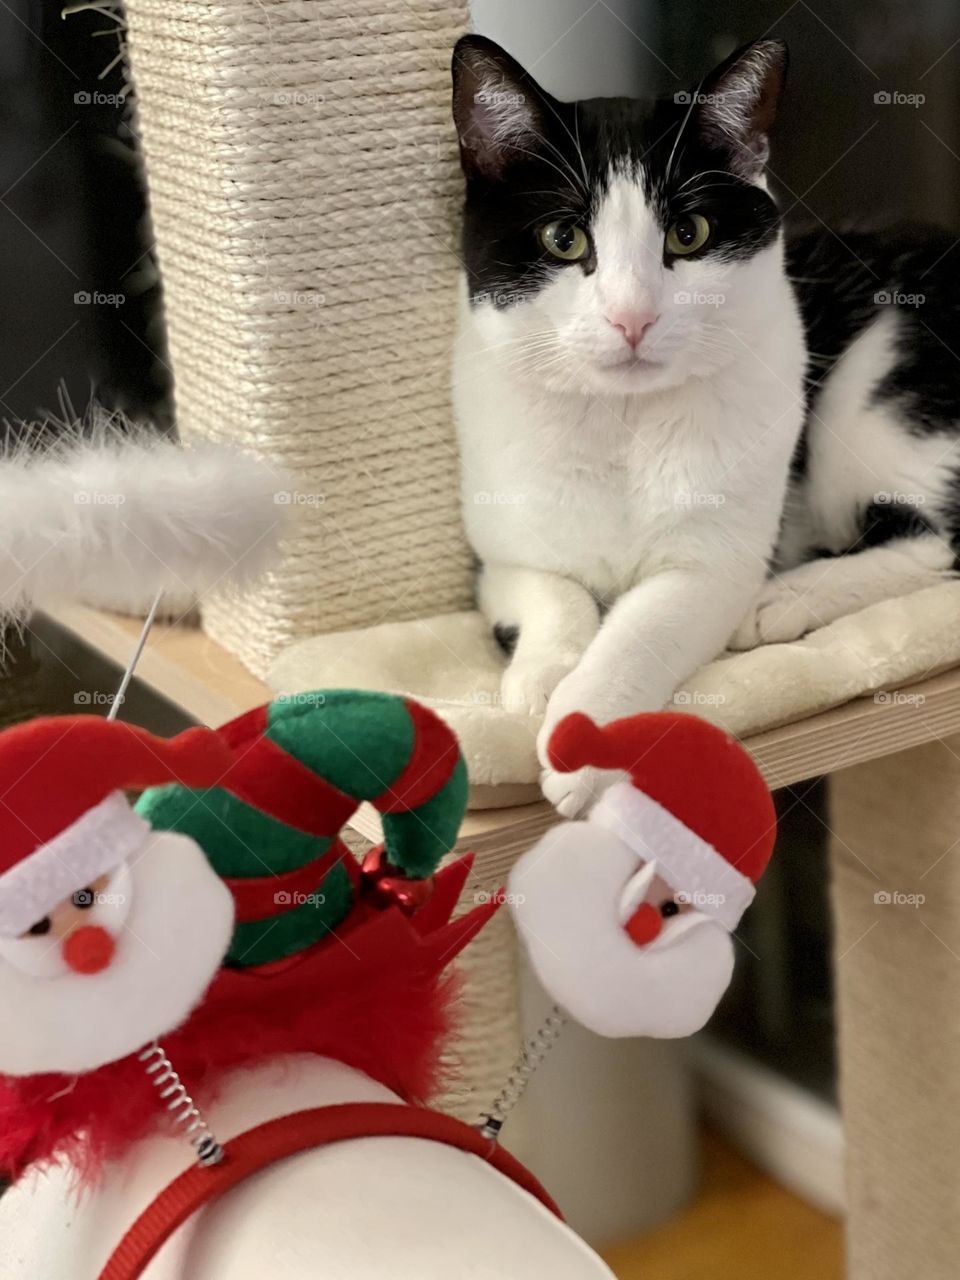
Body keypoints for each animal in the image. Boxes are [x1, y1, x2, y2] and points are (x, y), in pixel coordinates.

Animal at [453, 37, 960, 819]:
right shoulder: (497, 550)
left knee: (938, 541)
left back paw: (784, 599)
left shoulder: (711, 566)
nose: (632, 317)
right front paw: (542, 676)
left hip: (877, 379)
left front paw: (581, 736)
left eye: (687, 234)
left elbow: (640, 631)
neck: (622, 424)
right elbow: (551, 588)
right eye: (563, 238)